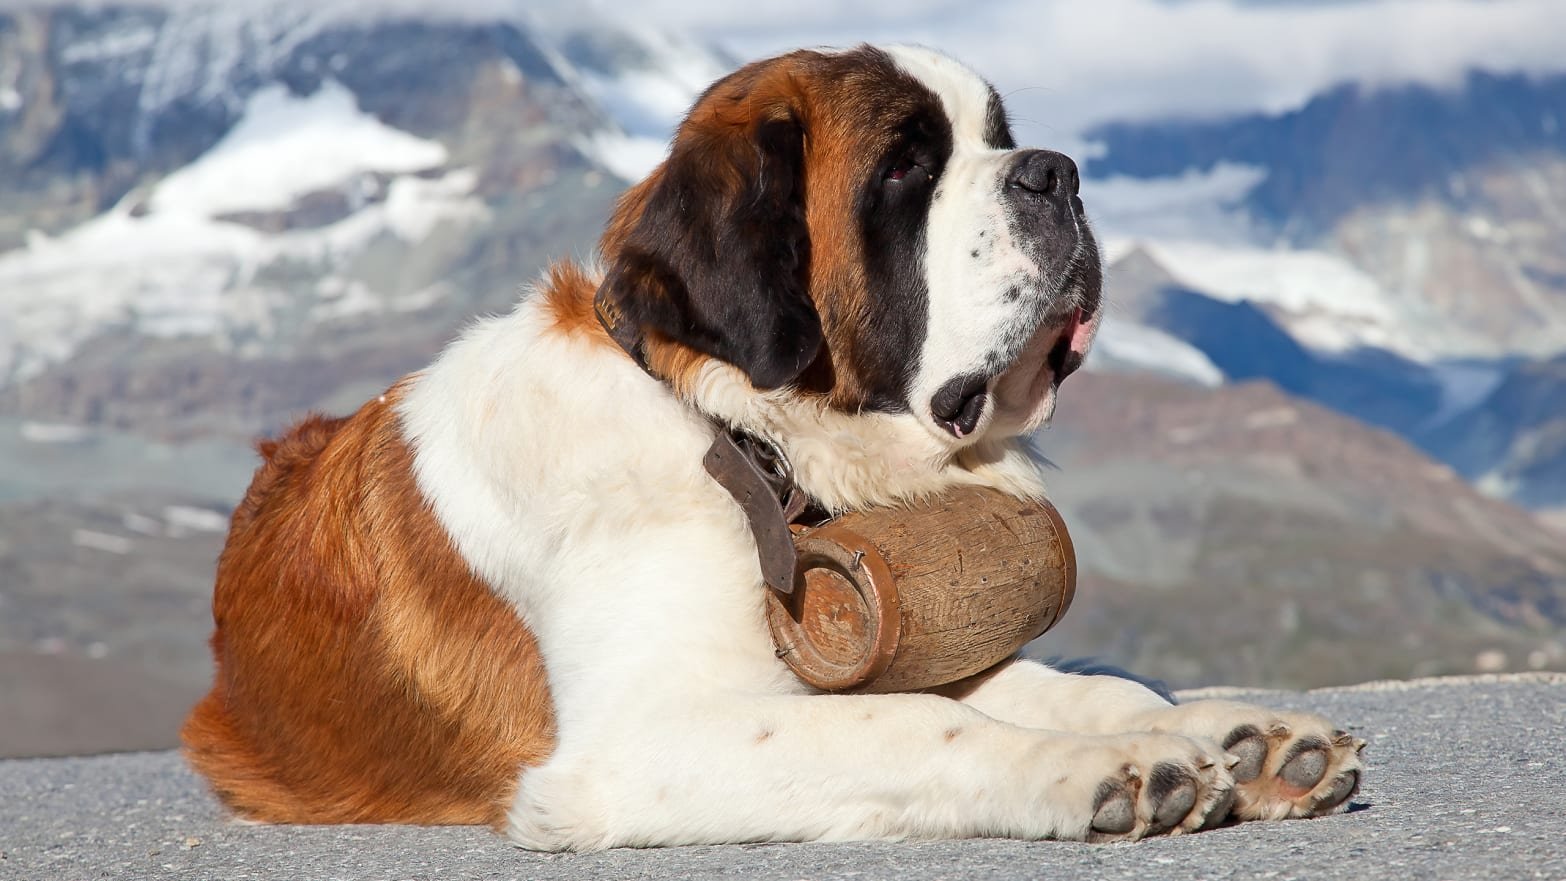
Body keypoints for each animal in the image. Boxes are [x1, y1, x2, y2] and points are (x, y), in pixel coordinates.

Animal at [180, 44, 1359, 851]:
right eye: (906, 170)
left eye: (997, 136)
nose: (1057, 172)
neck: (740, 436)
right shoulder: (639, 739)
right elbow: (908, 725)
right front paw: (1111, 768)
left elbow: (1058, 681)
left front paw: (1233, 735)